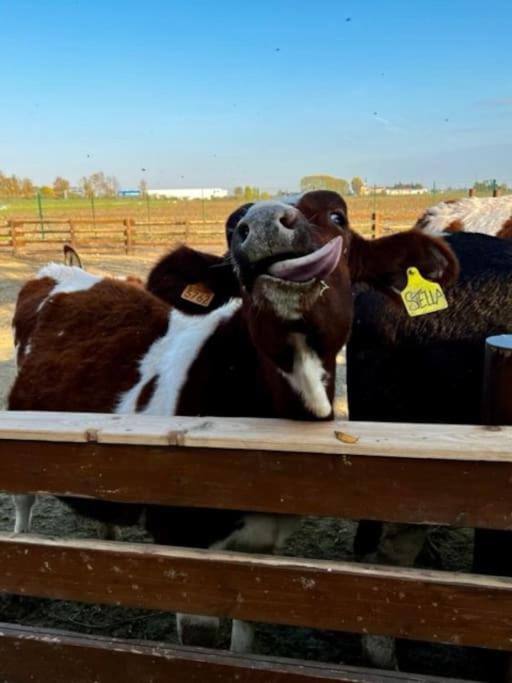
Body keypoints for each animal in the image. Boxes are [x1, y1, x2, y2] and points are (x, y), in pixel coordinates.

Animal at [9, 190, 456, 656]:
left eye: (337, 216)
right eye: (230, 229)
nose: (261, 224)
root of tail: (60, 270)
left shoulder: (262, 547)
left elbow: (244, 637)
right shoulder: (183, 538)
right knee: (23, 501)